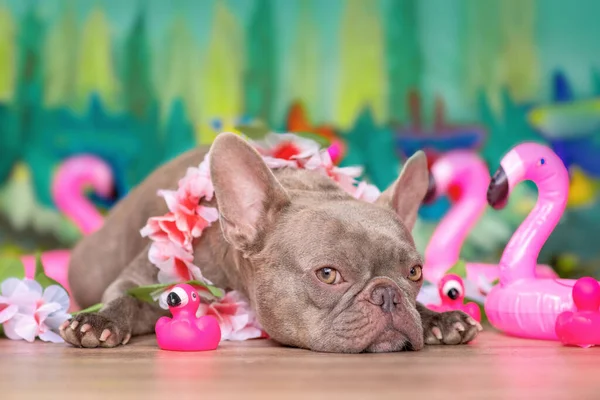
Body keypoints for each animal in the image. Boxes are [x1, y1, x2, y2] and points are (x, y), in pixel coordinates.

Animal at [59, 134, 482, 354]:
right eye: (328, 275)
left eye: (414, 272)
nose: (388, 295)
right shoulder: (140, 279)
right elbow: (125, 297)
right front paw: (99, 321)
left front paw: (439, 318)